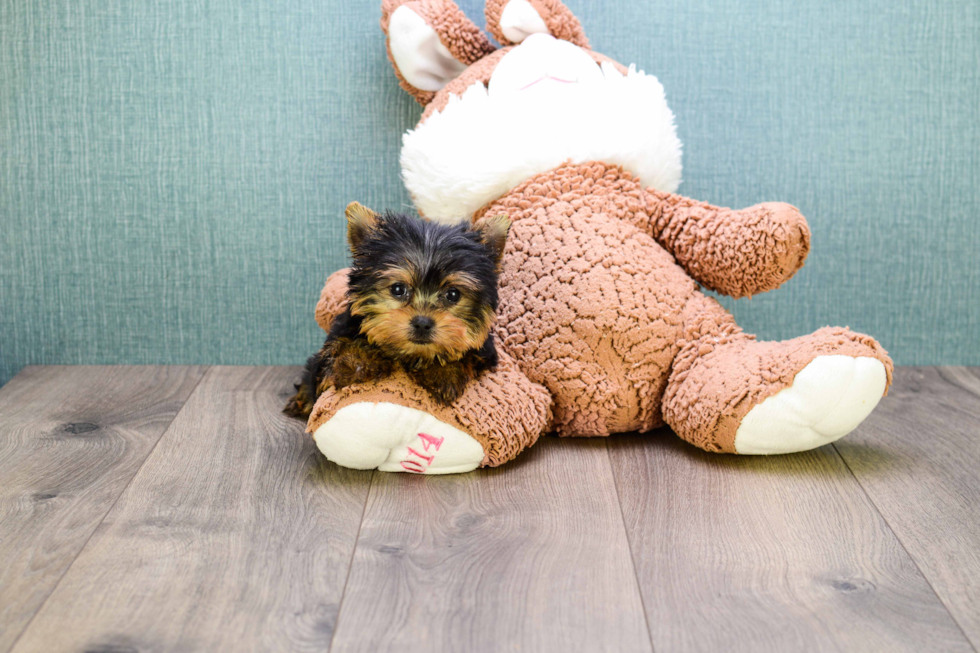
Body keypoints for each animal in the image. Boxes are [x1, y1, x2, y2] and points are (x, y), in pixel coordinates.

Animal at [284, 201, 510, 420]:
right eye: (398, 289)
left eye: (453, 294)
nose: (422, 323)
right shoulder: (339, 336)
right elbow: (342, 347)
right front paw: (357, 361)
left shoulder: (486, 353)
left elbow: (465, 354)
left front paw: (444, 371)